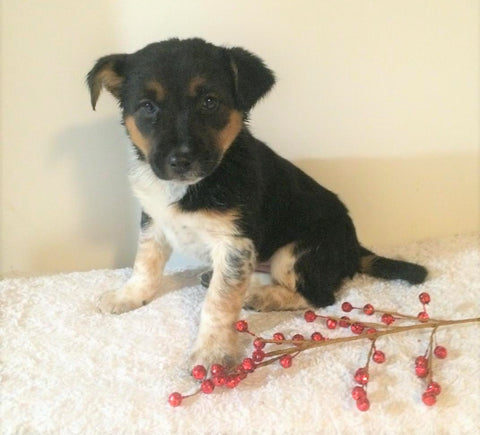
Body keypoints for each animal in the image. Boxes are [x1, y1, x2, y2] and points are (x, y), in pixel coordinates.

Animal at [87, 38, 428, 368]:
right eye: (147, 107)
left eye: (209, 102)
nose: (181, 161)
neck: (192, 186)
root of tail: (354, 249)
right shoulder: (154, 219)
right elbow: (146, 263)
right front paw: (129, 295)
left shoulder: (235, 242)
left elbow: (219, 302)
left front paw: (213, 352)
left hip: (295, 254)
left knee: (319, 296)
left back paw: (260, 296)